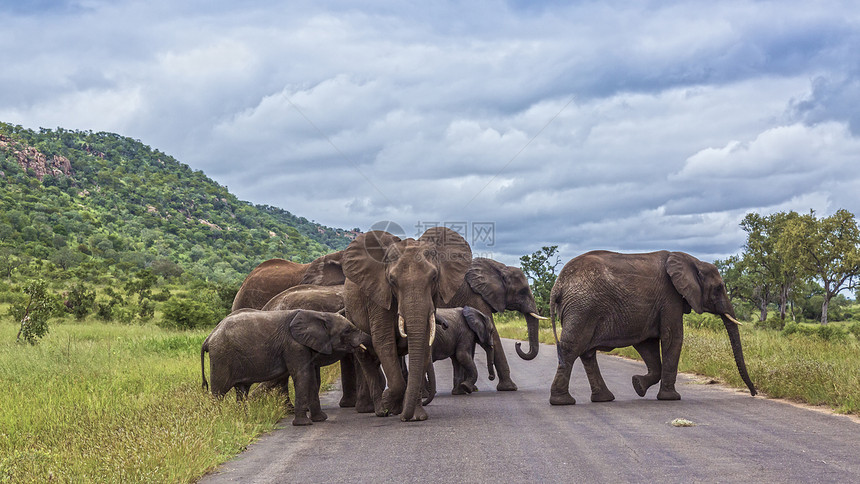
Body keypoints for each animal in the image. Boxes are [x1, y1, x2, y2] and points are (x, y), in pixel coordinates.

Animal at [206, 308, 376, 426]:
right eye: (347, 331)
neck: (319, 314)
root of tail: (209, 337)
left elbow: (310, 377)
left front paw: (320, 419)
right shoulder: (294, 345)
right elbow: (303, 375)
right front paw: (304, 424)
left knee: (241, 392)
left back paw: (244, 419)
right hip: (221, 358)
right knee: (218, 393)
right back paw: (218, 420)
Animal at [340, 229, 470, 422]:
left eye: (434, 277)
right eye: (392, 280)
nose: (446, 326)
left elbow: (423, 344)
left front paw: (417, 417)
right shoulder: (378, 296)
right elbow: (384, 342)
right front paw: (390, 404)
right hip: (351, 313)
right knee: (366, 360)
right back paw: (380, 411)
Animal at [444, 258, 544, 390]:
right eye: (523, 292)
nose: (518, 343)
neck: (500, 268)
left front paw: (470, 388)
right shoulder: (474, 297)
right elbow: (494, 334)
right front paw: (510, 388)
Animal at [548, 250, 756, 404]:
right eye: (719, 288)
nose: (754, 392)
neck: (693, 261)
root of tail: (558, 285)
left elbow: (647, 344)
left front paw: (637, 385)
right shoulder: (670, 297)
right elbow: (673, 337)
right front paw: (671, 398)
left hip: (582, 309)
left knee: (587, 353)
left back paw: (603, 399)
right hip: (583, 307)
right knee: (571, 348)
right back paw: (562, 401)